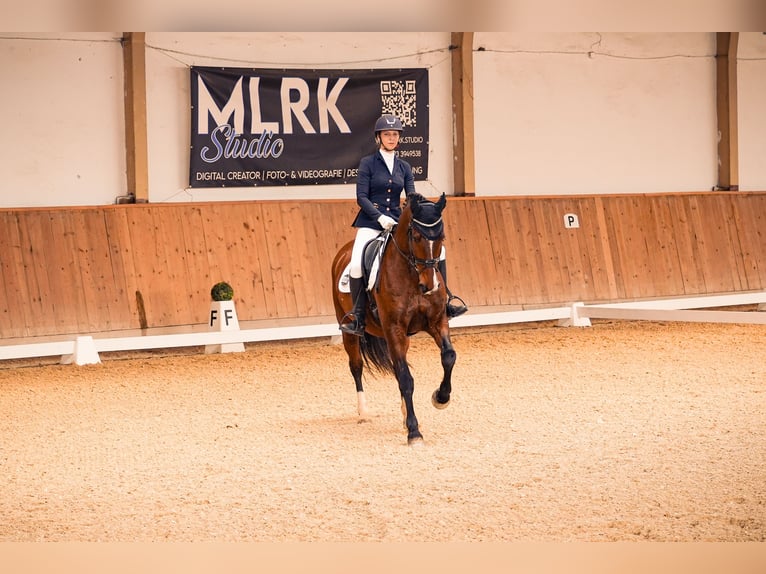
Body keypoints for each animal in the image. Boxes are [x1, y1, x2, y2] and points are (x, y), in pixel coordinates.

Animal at [331, 192, 457, 445]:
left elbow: (448, 357)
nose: (430, 286)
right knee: (356, 366)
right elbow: (406, 379)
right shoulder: (394, 329)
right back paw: (363, 412)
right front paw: (414, 431)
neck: (412, 276)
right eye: (416, 236)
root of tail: (344, 251)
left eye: (441, 237)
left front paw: (441, 398)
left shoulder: (437, 322)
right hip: (351, 331)